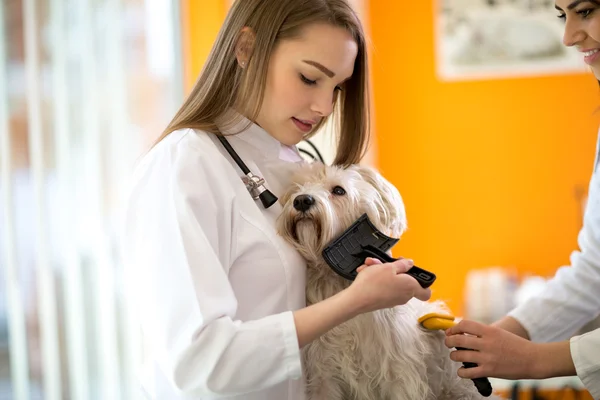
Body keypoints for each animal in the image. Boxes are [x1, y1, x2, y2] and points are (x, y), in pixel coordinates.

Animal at [276, 162, 502, 400]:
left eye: (338, 190)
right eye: (296, 189)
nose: (302, 200)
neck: (340, 288)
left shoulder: (398, 374)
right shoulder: (323, 374)